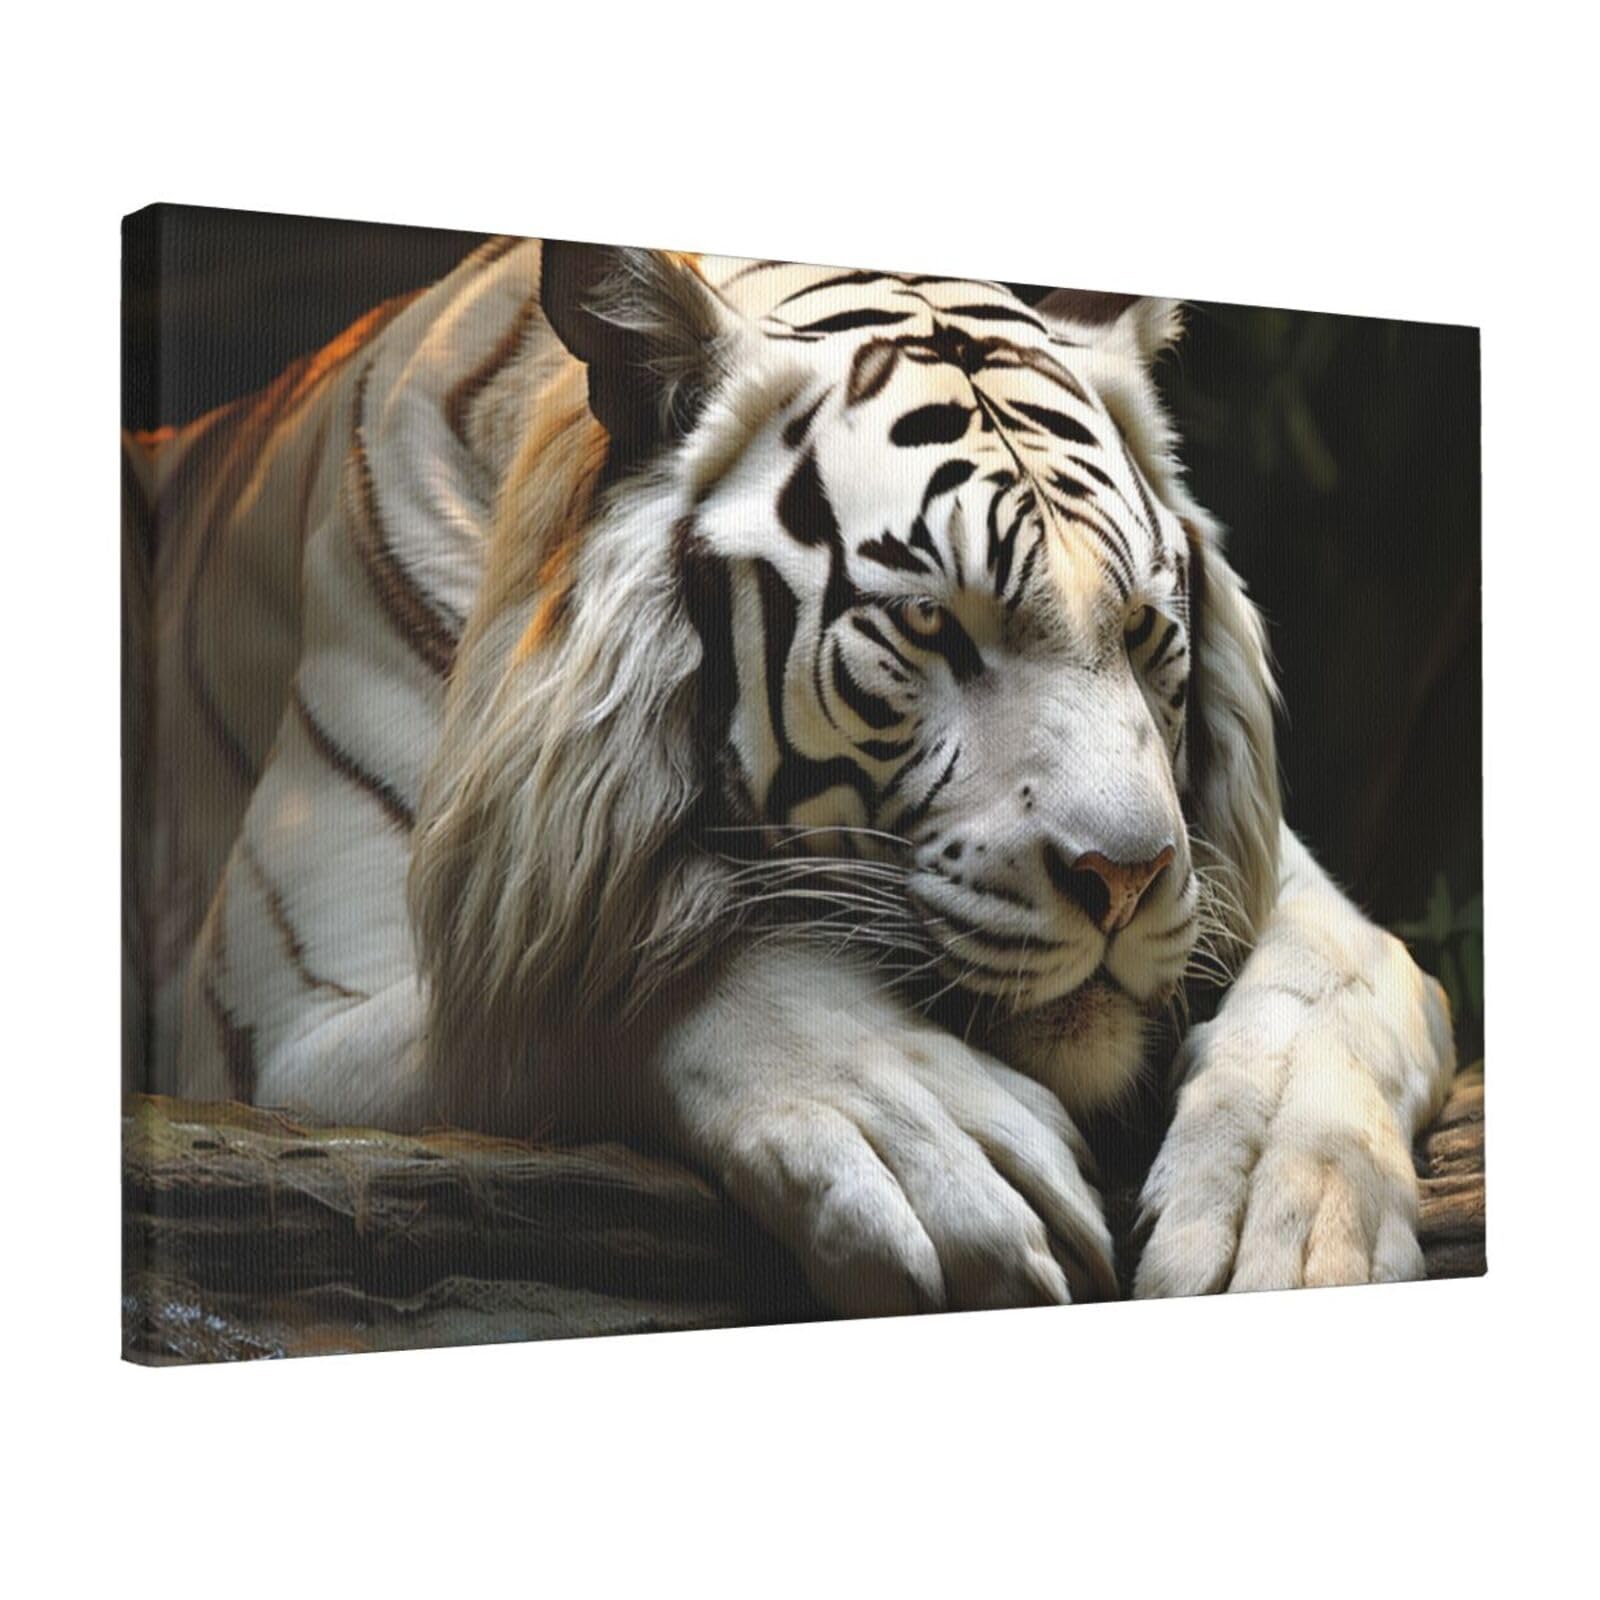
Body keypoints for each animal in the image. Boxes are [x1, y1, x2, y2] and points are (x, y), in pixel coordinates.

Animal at [127, 233, 1456, 1312]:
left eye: (1138, 628)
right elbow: (608, 975)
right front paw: (934, 1148)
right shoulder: (284, 1021)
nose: (1124, 880)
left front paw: (1286, 1208)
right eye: (929, 624)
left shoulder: (1249, 871)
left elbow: (1342, 974)